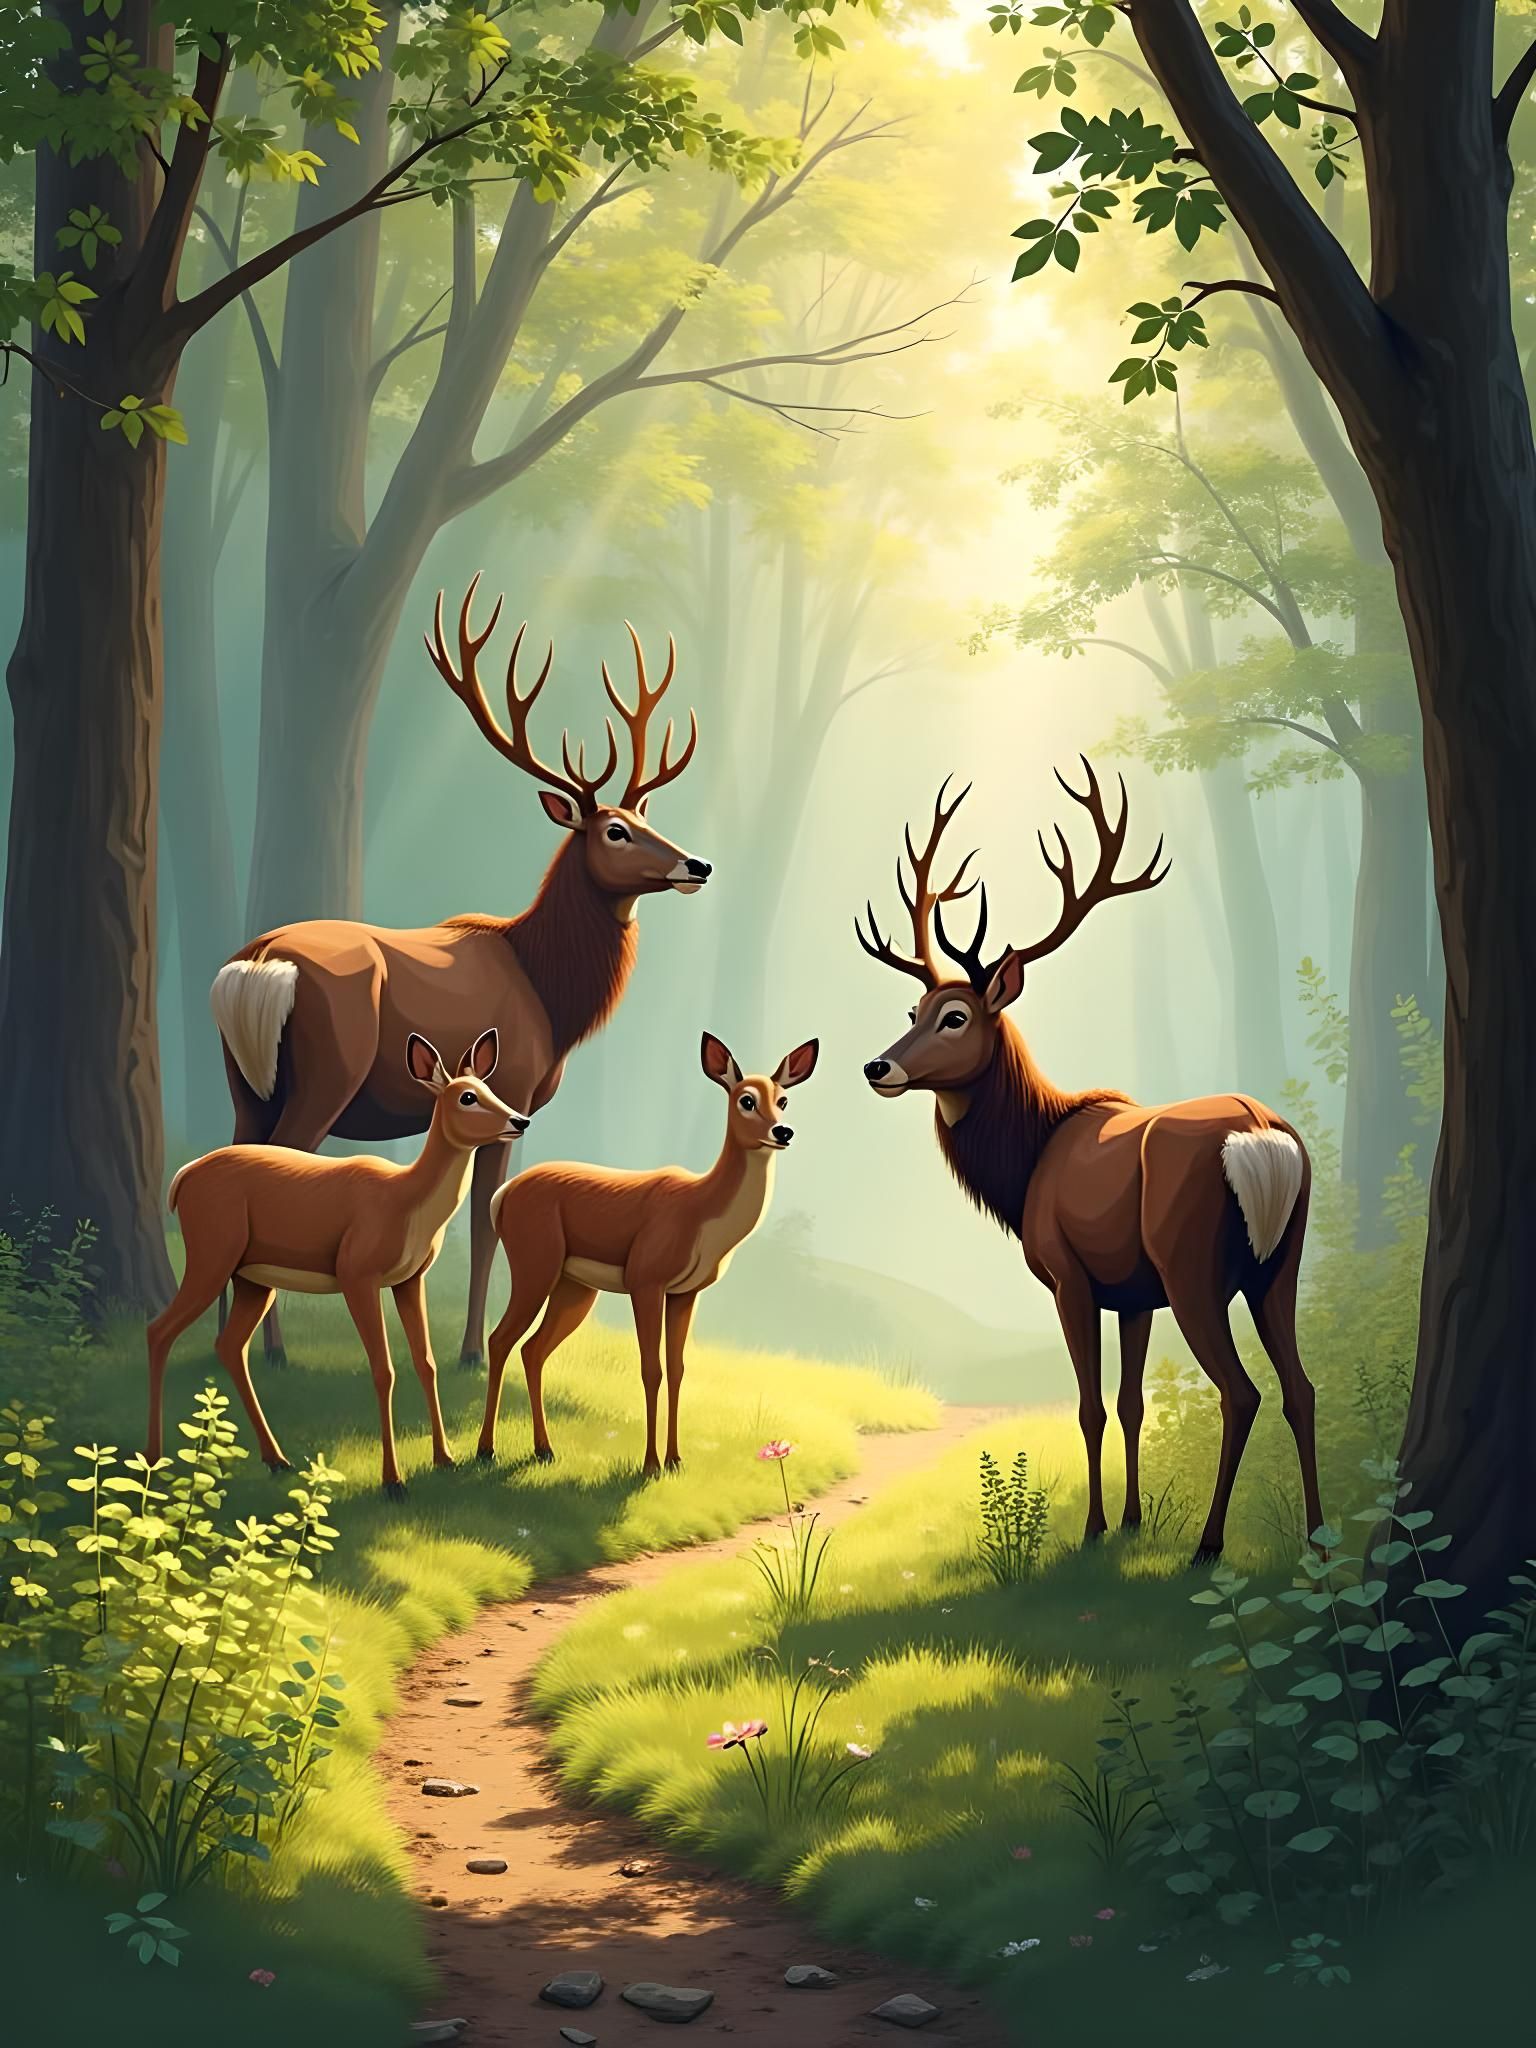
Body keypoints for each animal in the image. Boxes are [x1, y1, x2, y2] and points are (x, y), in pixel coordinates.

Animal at [147, 1029, 530, 1498]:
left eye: (492, 1090)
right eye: (468, 1097)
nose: (520, 1120)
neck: (406, 1202)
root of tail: (180, 1179)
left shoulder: (410, 1279)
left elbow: (426, 1363)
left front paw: (445, 1458)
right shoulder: (356, 1272)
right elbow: (383, 1370)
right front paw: (393, 1481)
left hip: (253, 1278)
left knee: (229, 1345)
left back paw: (277, 1460)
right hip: (211, 1253)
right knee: (159, 1330)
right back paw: (153, 1457)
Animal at [210, 574, 708, 1374]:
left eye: (646, 817)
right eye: (615, 830)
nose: (697, 864)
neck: (552, 996)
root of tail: (257, 966)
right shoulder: (514, 1093)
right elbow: (485, 1226)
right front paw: (474, 1350)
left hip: (241, 1076)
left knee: (224, 1151)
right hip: (326, 1073)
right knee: (279, 1162)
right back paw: (275, 1350)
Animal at [476, 1032, 819, 1476]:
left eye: (784, 1099)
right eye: (746, 1099)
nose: (783, 1131)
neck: (701, 1210)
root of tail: (502, 1196)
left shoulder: (685, 1293)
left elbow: (677, 1370)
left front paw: (675, 1460)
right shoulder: (646, 1282)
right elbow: (650, 1369)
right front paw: (651, 1464)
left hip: (574, 1288)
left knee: (533, 1349)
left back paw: (544, 1450)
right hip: (535, 1268)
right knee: (500, 1339)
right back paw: (486, 1450)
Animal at [856, 766, 1323, 1566]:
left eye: (956, 1016)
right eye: (914, 1008)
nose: (877, 1066)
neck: (1026, 1169)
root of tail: (1263, 1139)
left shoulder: (1070, 1273)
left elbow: (1091, 1408)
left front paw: (1096, 1528)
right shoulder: (1133, 1293)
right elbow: (1133, 1405)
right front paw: (1133, 1521)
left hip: (1193, 1266)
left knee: (1242, 1392)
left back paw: (1209, 1545)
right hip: (1280, 1263)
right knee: (1301, 1388)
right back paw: (1322, 1543)